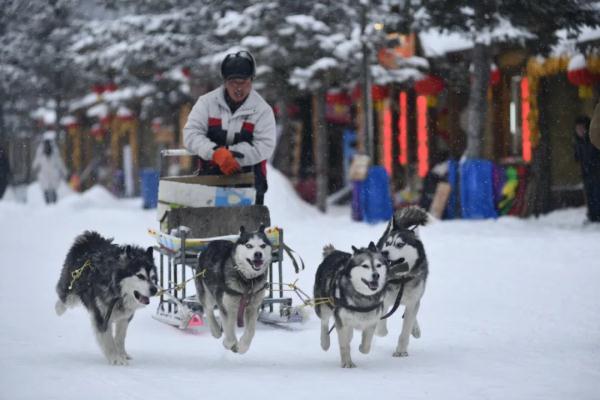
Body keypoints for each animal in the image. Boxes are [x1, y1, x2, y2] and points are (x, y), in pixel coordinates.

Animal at [54, 231, 157, 366]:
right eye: (140, 276)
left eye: (153, 277)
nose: (155, 290)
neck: (118, 292)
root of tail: (92, 237)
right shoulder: (101, 316)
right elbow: (108, 340)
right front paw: (116, 359)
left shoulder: (124, 318)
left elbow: (120, 338)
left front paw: (122, 354)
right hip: (71, 288)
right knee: (64, 296)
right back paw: (59, 309)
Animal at [195, 225, 272, 354]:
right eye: (249, 245)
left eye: (262, 245)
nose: (258, 254)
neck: (247, 280)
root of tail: (213, 242)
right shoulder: (227, 306)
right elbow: (229, 332)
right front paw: (229, 344)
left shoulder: (253, 307)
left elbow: (251, 331)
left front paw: (242, 347)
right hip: (207, 293)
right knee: (208, 309)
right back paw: (215, 330)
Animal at [378, 206, 428, 356]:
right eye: (388, 243)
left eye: (400, 244)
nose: (384, 252)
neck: (401, 279)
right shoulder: (383, 298)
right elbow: (381, 324)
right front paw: (381, 330)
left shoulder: (413, 300)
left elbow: (406, 328)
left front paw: (400, 350)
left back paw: (415, 329)